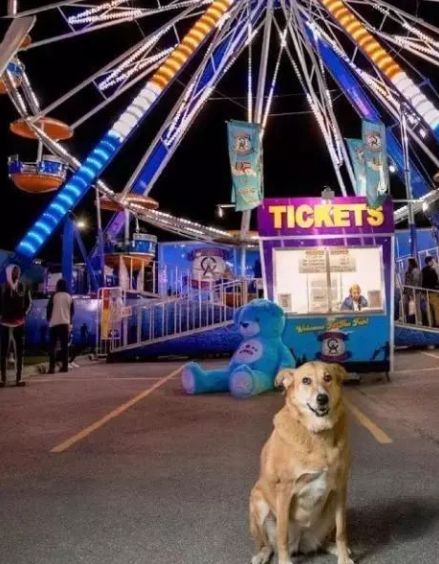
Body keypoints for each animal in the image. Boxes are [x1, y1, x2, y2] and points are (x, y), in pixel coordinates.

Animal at [251, 362, 354, 564]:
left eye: (328, 377)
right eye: (306, 380)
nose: (322, 398)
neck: (316, 434)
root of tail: (301, 542)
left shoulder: (340, 488)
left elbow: (342, 531)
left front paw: (344, 557)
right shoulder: (284, 492)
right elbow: (282, 536)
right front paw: (284, 562)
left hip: (330, 507)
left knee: (326, 539)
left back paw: (333, 547)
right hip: (257, 503)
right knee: (268, 544)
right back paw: (261, 554)